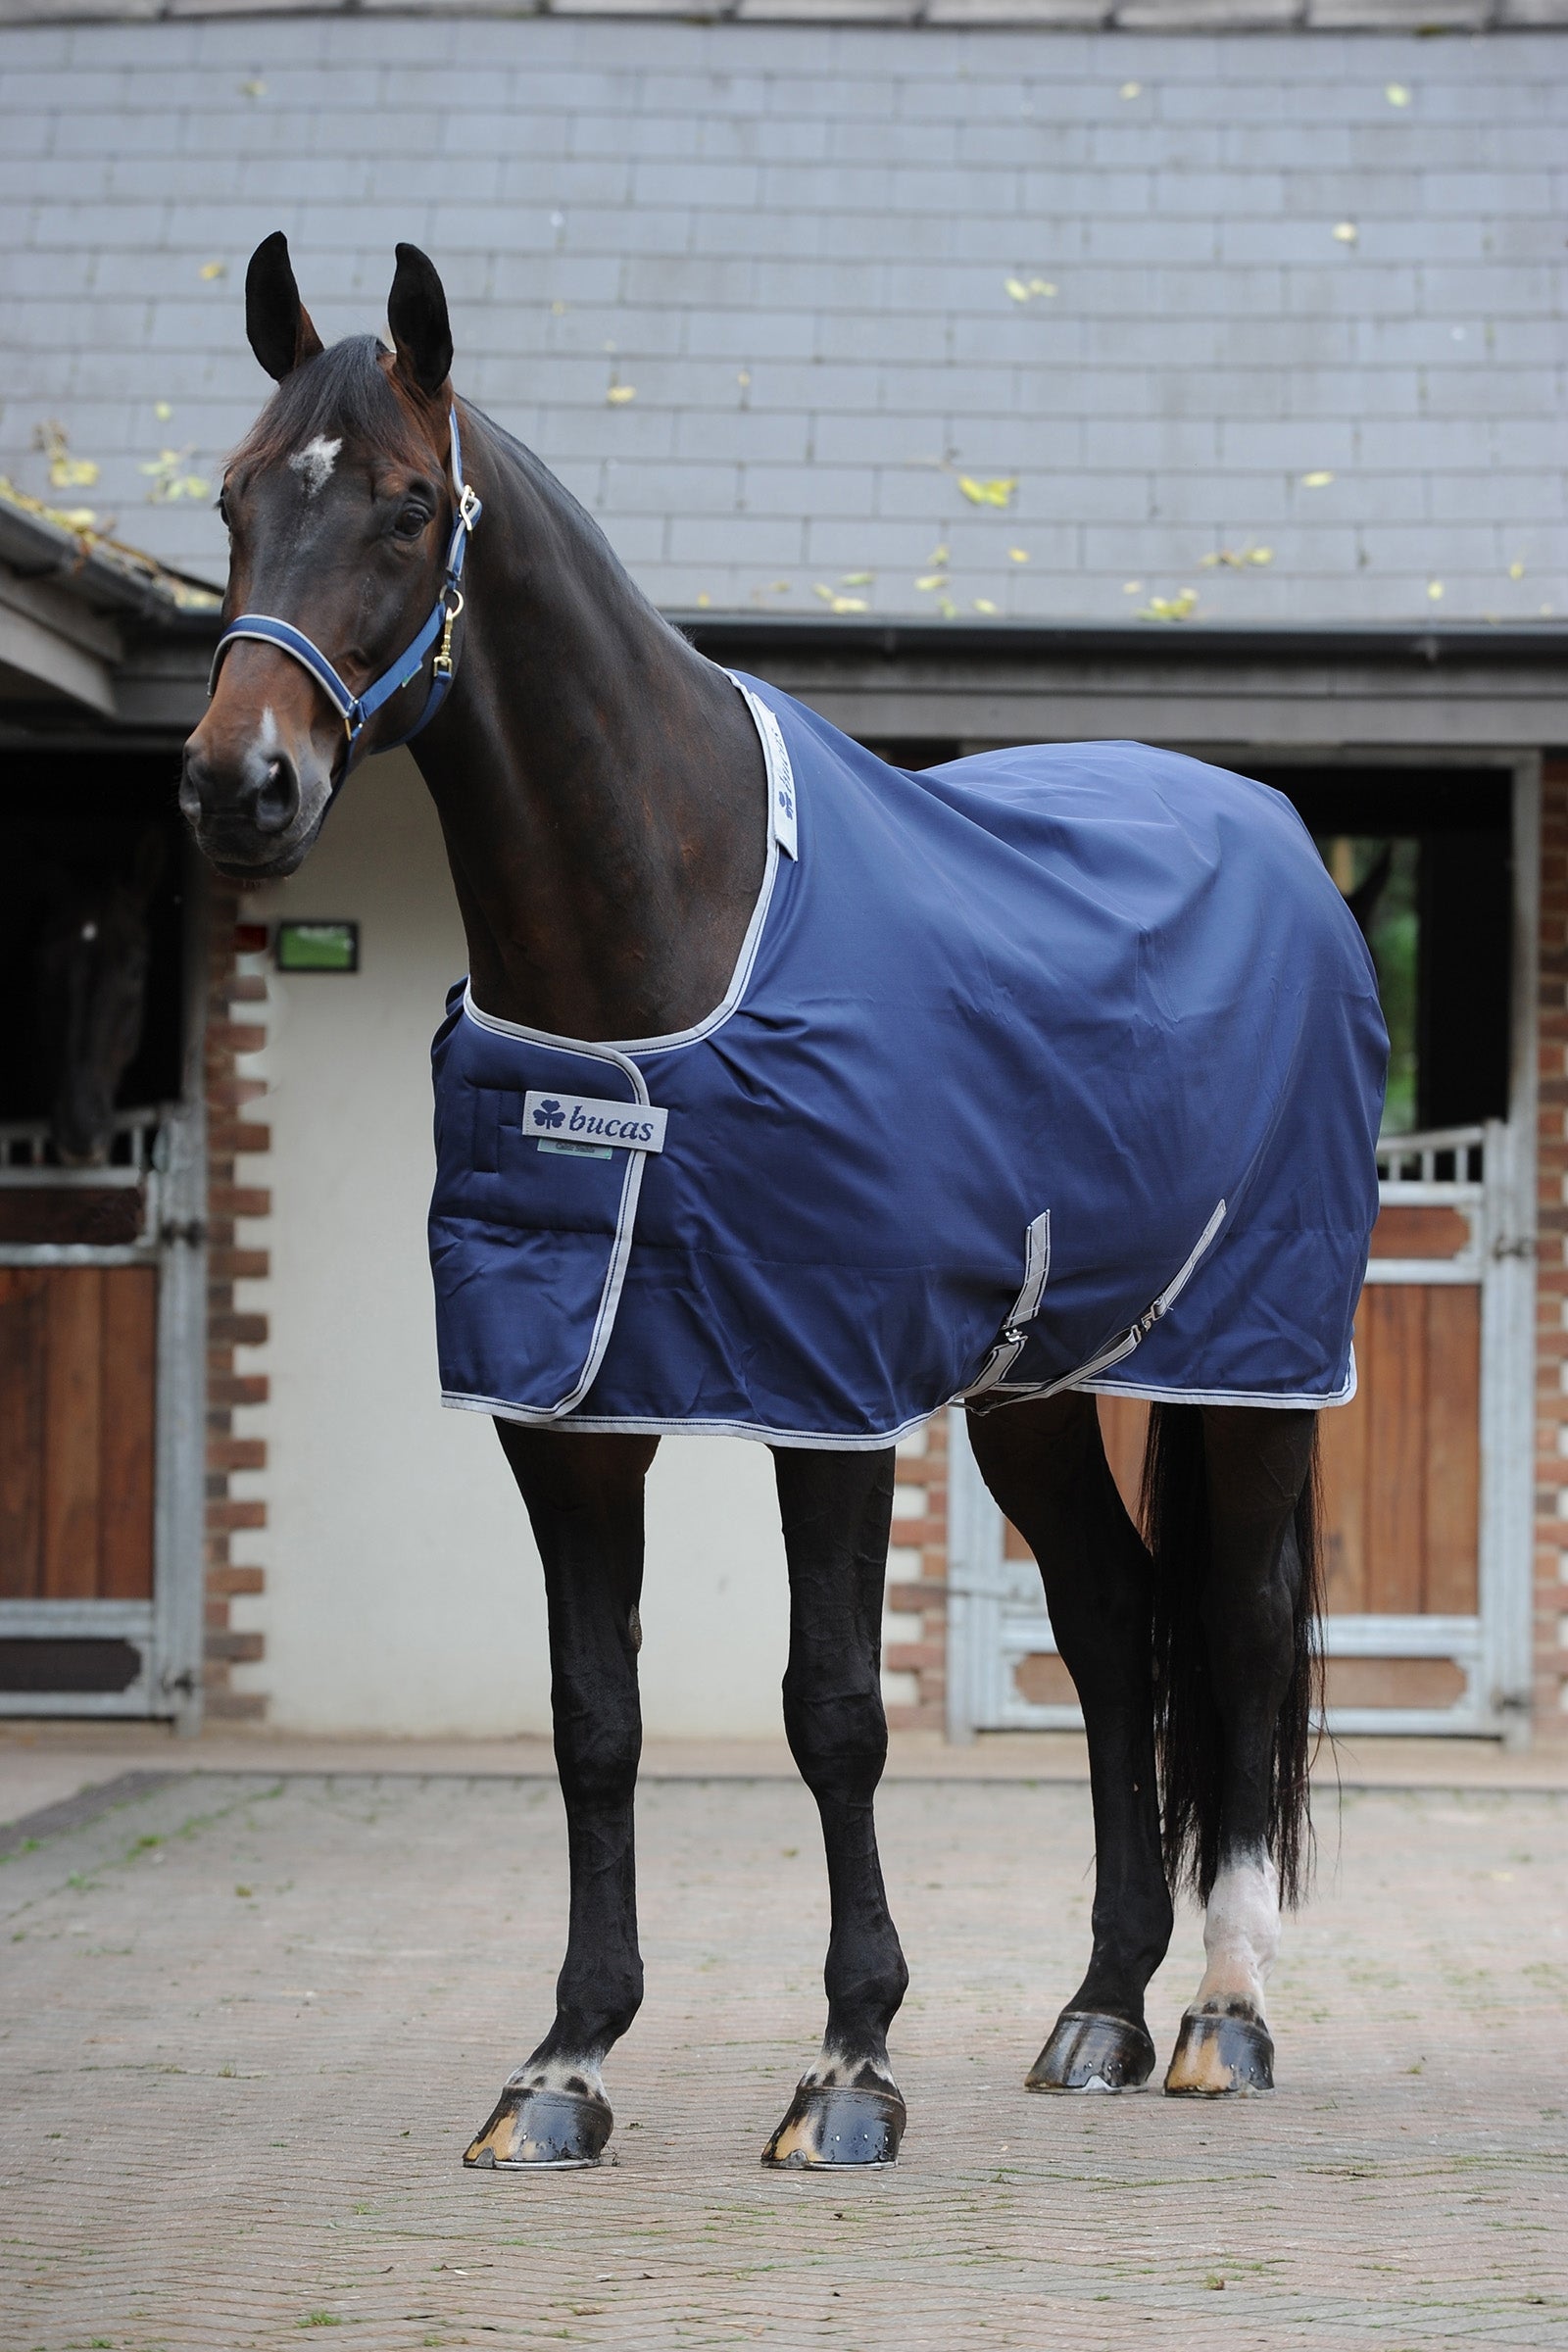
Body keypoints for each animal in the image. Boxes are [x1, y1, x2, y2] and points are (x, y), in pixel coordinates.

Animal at [181, 234, 1387, 2172]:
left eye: (404, 505)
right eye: (227, 497)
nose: (240, 785)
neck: (660, 947)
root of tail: (1278, 841)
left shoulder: (826, 1398)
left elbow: (834, 1714)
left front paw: (848, 2069)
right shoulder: (567, 1409)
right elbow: (593, 1718)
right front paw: (565, 2066)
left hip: (1253, 1361)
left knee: (1241, 1627)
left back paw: (1223, 2017)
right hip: (1036, 1387)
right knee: (1116, 1624)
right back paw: (1099, 2014)